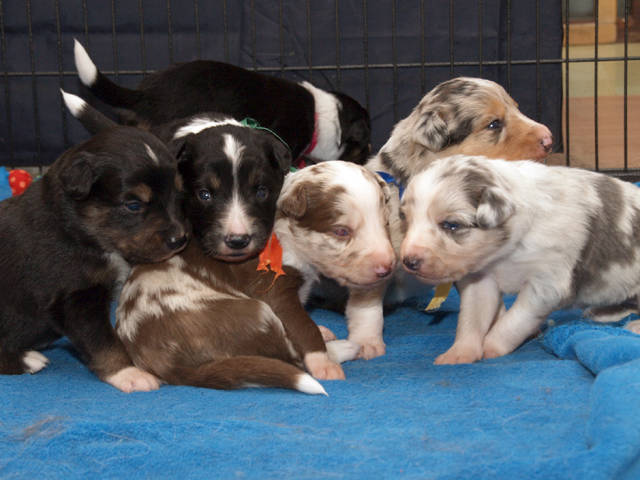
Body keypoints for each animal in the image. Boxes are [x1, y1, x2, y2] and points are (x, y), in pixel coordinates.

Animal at [0, 126, 188, 392]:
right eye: (133, 205)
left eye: (177, 195)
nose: (179, 239)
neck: (75, 230)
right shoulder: (74, 298)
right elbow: (102, 340)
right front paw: (129, 373)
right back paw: (28, 360)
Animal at [115, 160, 394, 392]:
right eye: (341, 231)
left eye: (385, 224)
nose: (387, 267)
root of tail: (171, 368)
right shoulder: (274, 293)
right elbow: (303, 327)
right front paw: (322, 362)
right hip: (255, 314)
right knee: (285, 355)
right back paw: (344, 348)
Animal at [400, 154, 640, 364]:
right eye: (407, 220)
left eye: (451, 224)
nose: (408, 261)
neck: (508, 251)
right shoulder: (481, 279)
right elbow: (471, 318)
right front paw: (459, 354)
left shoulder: (546, 284)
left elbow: (514, 321)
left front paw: (491, 347)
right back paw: (600, 313)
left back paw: (633, 326)